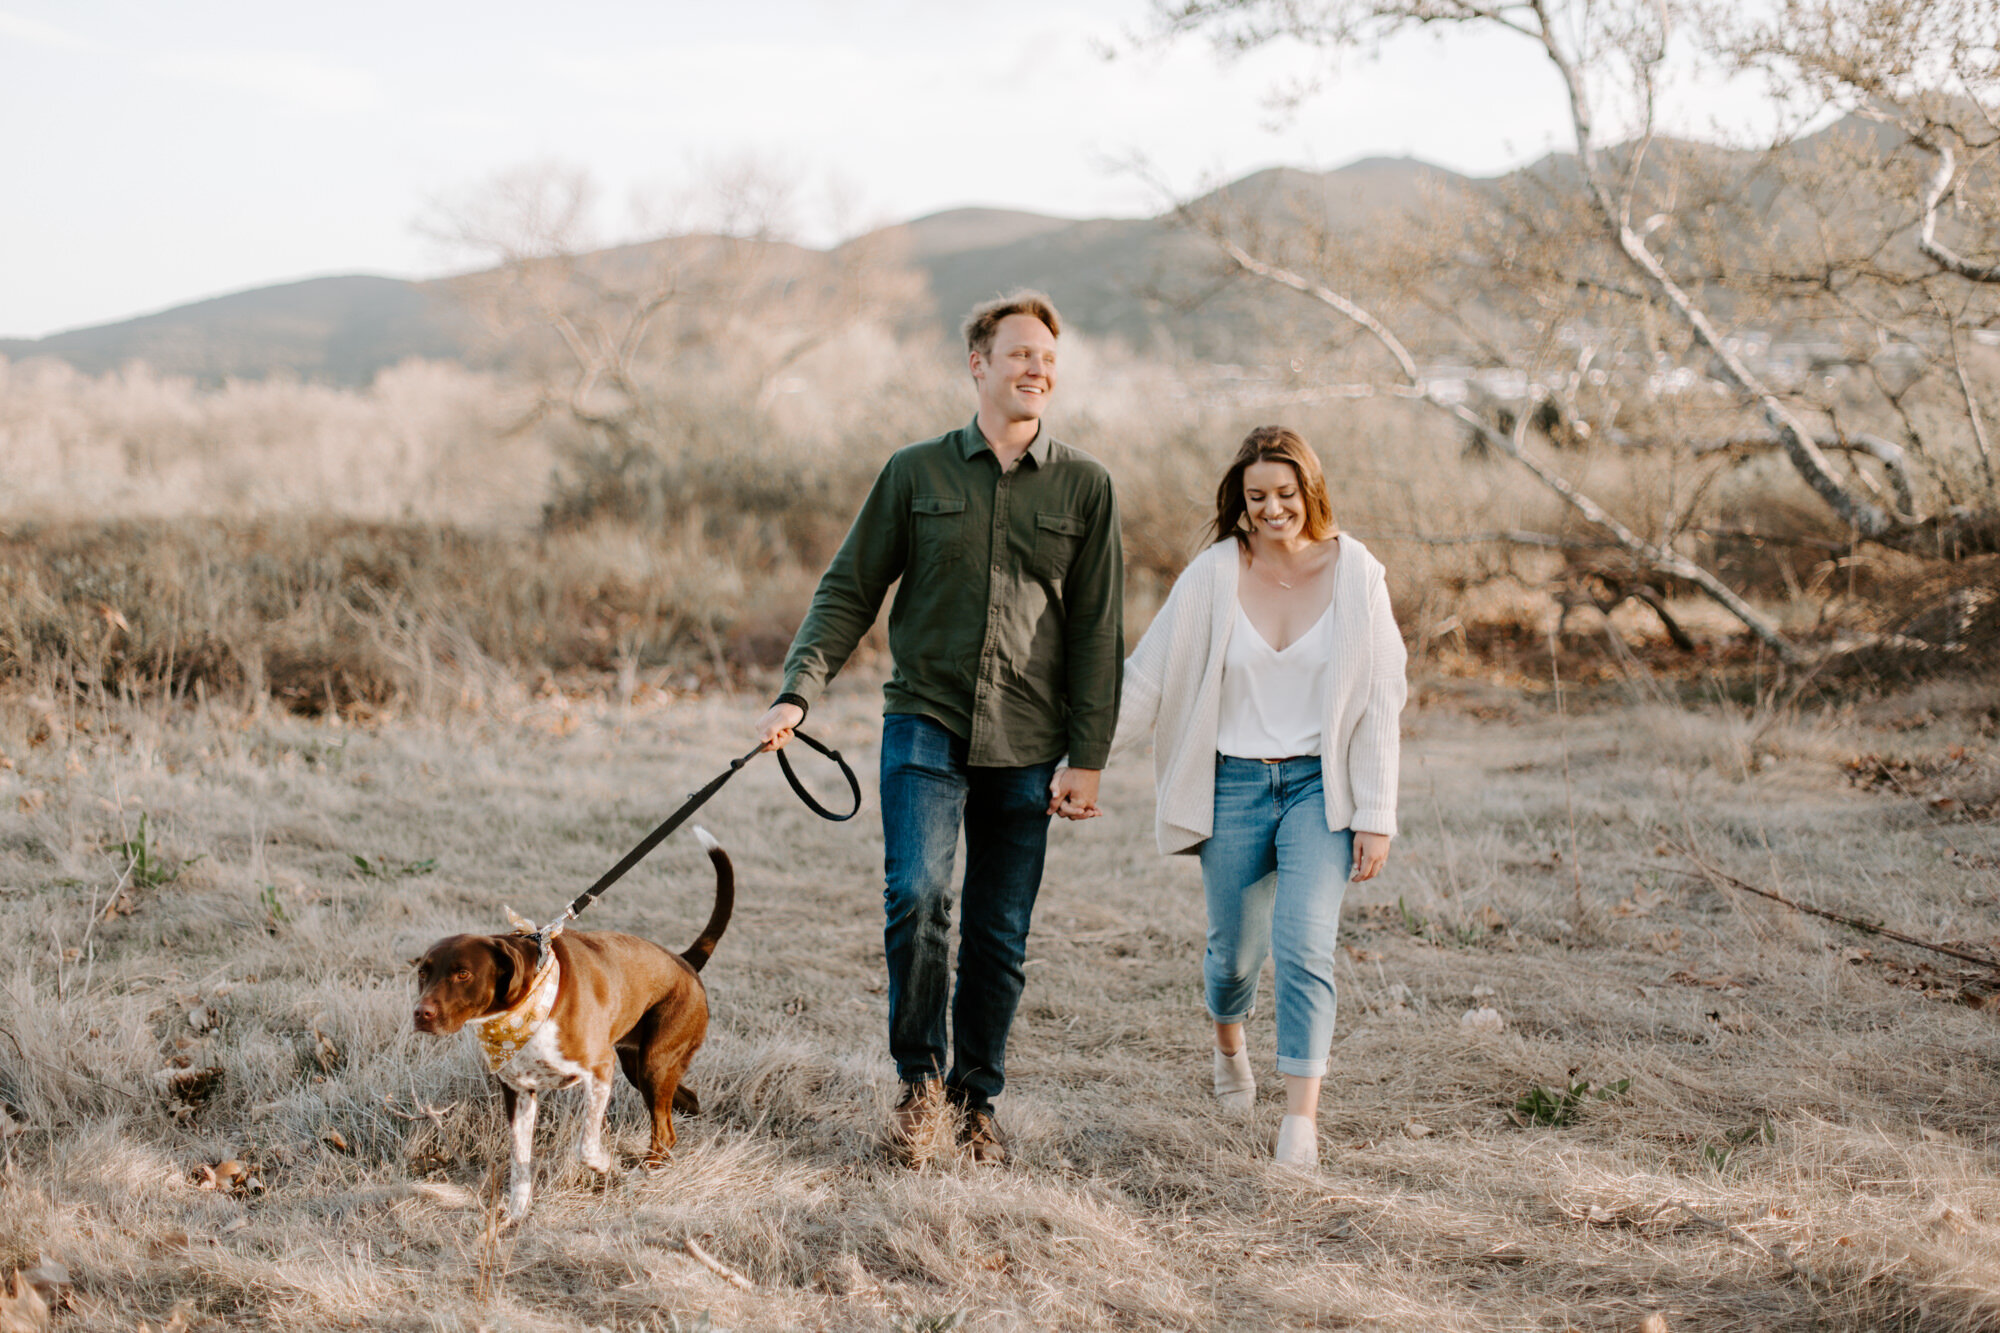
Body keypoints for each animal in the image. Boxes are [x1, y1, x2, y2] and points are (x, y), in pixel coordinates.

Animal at [410, 820, 732, 1216]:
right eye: (423, 972)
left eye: (463, 974)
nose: (421, 1014)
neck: (522, 1009)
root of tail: (684, 960)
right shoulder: (520, 1092)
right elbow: (520, 1162)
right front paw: (515, 1215)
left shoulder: (600, 1070)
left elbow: (586, 1147)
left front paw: (609, 1167)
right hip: (641, 1065)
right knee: (683, 1105)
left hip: (654, 1063)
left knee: (664, 1130)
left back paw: (646, 1172)